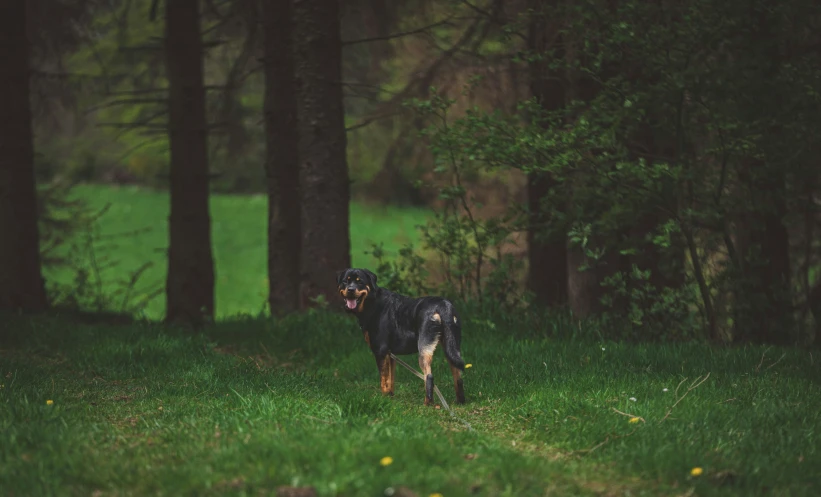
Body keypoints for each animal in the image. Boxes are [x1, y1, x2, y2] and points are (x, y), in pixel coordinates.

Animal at [334, 270, 464, 404]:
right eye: (345, 281)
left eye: (360, 282)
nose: (350, 289)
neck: (372, 302)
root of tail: (443, 305)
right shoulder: (390, 355)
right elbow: (390, 380)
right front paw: (390, 399)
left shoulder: (380, 352)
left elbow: (383, 380)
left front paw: (383, 399)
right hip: (452, 347)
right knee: (458, 376)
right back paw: (459, 401)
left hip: (424, 349)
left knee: (429, 376)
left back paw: (428, 404)